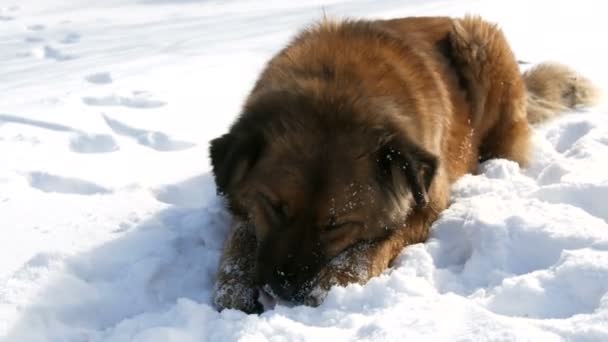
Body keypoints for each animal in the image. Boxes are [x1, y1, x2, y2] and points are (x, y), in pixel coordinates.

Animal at [209, 15, 600, 312]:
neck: (337, 88)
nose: (281, 288)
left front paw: (333, 283)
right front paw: (233, 287)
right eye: (274, 207)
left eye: (337, 225)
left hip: (480, 42)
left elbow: (370, 249)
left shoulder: (427, 203)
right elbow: (239, 241)